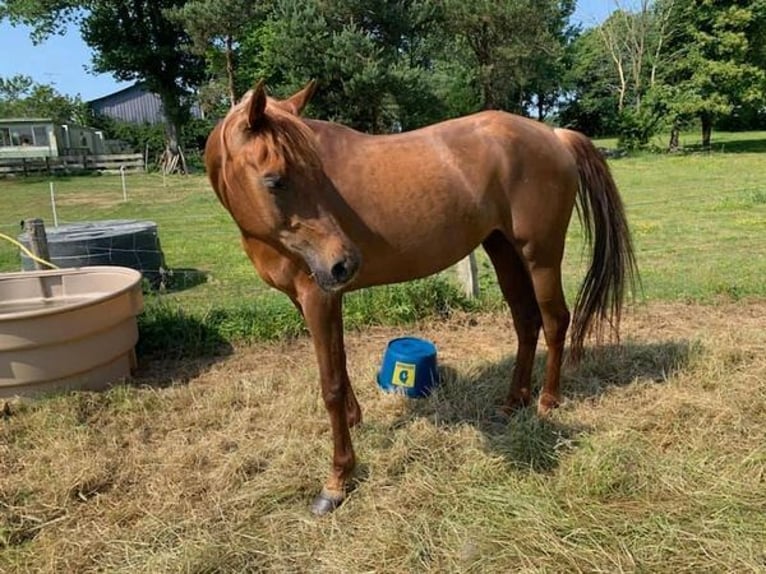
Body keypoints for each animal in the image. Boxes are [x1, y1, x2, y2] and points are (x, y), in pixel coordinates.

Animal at [204, 80, 638, 515]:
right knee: (526, 322)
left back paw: (547, 402)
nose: (346, 262)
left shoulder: (318, 296)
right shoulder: (319, 298)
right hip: (503, 249)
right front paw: (356, 420)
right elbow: (340, 366)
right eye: (275, 180)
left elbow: (330, 385)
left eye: (318, 174)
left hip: (540, 256)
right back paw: (512, 402)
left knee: (554, 320)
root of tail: (554, 135)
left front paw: (338, 479)